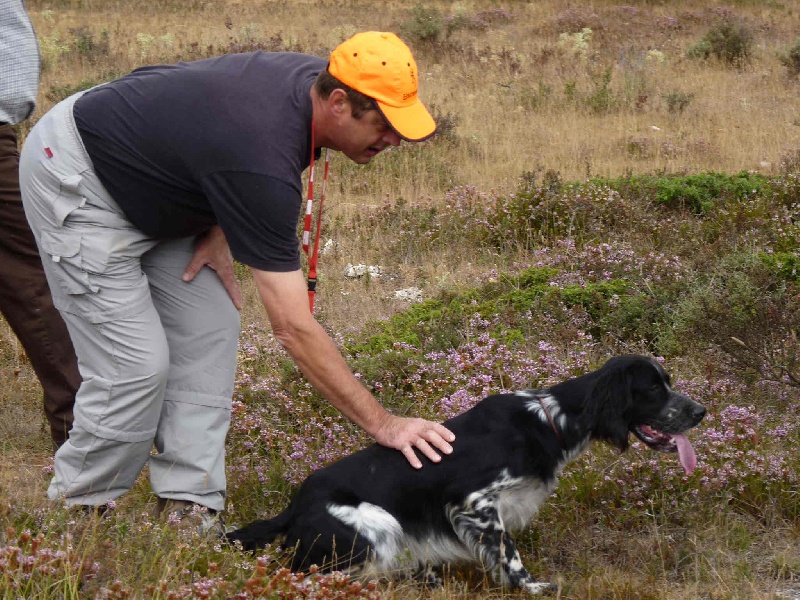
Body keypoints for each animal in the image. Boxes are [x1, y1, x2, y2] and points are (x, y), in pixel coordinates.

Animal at [227, 356, 708, 596]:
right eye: (652, 388)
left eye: (668, 382)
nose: (701, 411)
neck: (549, 420)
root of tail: (293, 508)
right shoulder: (473, 500)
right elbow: (509, 553)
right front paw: (530, 586)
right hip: (377, 524)